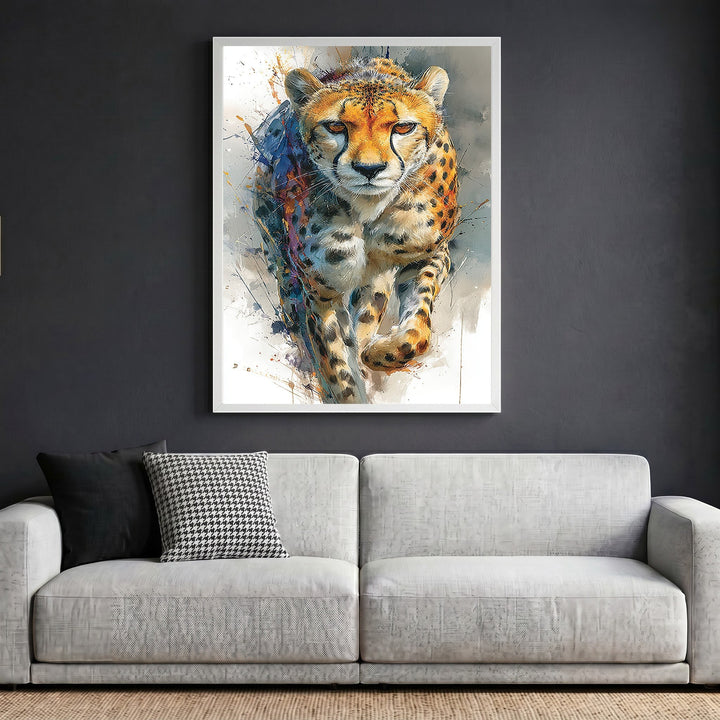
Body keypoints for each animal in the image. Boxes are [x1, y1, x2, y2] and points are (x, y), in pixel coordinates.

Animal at [252, 56, 459, 403]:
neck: (369, 210)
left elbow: (417, 330)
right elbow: (337, 366)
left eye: (403, 127)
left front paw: (379, 351)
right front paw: (350, 390)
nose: (369, 169)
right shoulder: (320, 290)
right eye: (336, 127)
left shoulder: (429, 254)